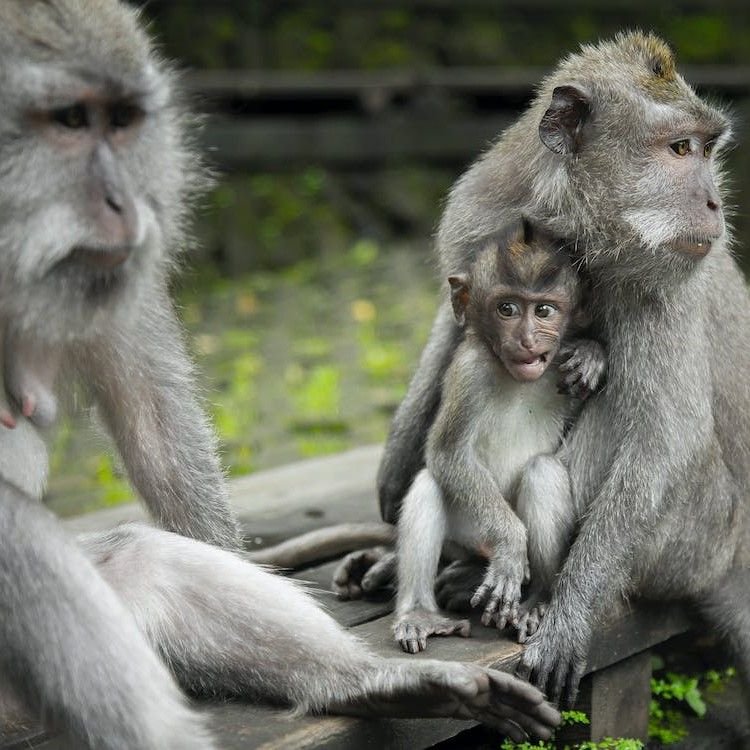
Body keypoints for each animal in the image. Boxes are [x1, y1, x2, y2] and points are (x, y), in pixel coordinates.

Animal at [0, 1, 562, 747]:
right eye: (68, 121)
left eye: (120, 122)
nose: (124, 201)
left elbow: (153, 419)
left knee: (141, 559)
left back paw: (373, 683)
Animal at [394, 220, 606, 654]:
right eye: (506, 309)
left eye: (544, 310)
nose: (527, 340)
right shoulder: (469, 371)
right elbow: (448, 454)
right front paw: (510, 548)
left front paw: (591, 355)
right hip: (472, 531)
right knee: (429, 484)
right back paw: (420, 613)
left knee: (542, 472)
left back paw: (539, 598)